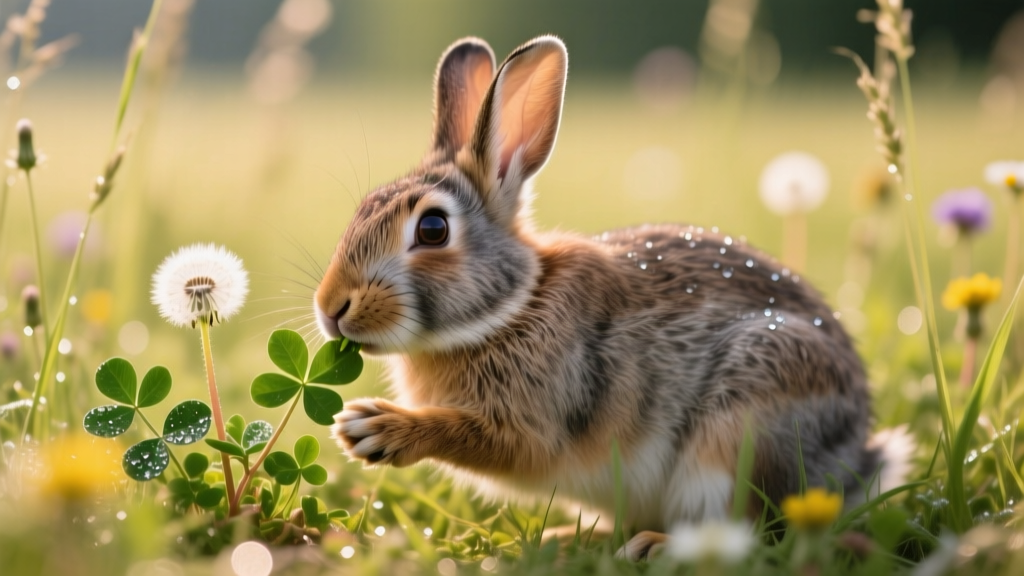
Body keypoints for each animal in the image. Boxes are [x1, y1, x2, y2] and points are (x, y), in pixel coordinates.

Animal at [315, 35, 911, 560]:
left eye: (433, 229)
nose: (331, 308)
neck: (512, 307)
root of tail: (852, 463)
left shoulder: (538, 419)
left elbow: (486, 438)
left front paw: (373, 427)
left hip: (744, 427)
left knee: (755, 529)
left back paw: (655, 546)